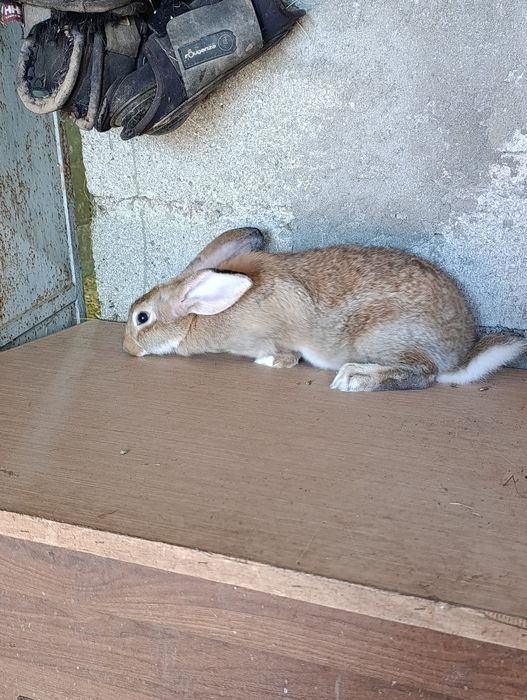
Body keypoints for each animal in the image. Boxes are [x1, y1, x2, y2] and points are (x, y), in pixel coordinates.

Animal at [123, 227, 527, 391]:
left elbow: (285, 357)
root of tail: (458, 355)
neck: (196, 316)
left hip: (380, 336)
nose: (126, 349)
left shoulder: (271, 337)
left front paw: (268, 363)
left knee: (423, 374)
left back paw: (355, 379)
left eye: (142, 318)